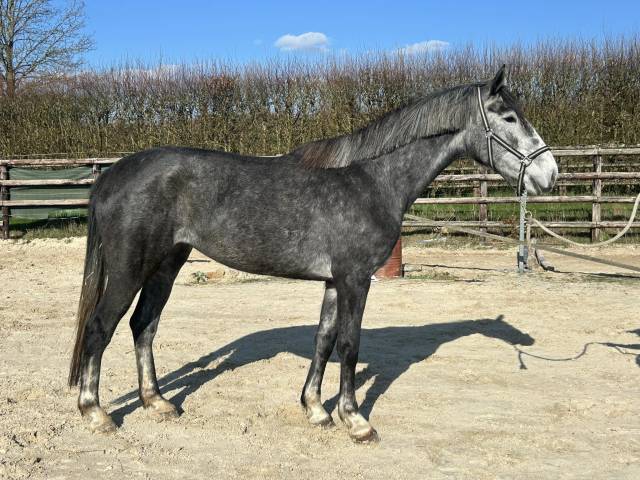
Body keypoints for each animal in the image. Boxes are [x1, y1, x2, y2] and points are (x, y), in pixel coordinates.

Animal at [68, 66, 558, 442]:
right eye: (509, 117)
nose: (549, 174)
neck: (372, 181)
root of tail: (112, 174)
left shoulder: (333, 282)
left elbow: (324, 340)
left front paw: (316, 409)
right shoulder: (355, 280)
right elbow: (350, 344)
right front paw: (356, 420)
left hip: (167, 265)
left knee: (143, 326)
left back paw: (157, 402)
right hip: (130, 269)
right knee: (101, 326)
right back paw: (95, 412)